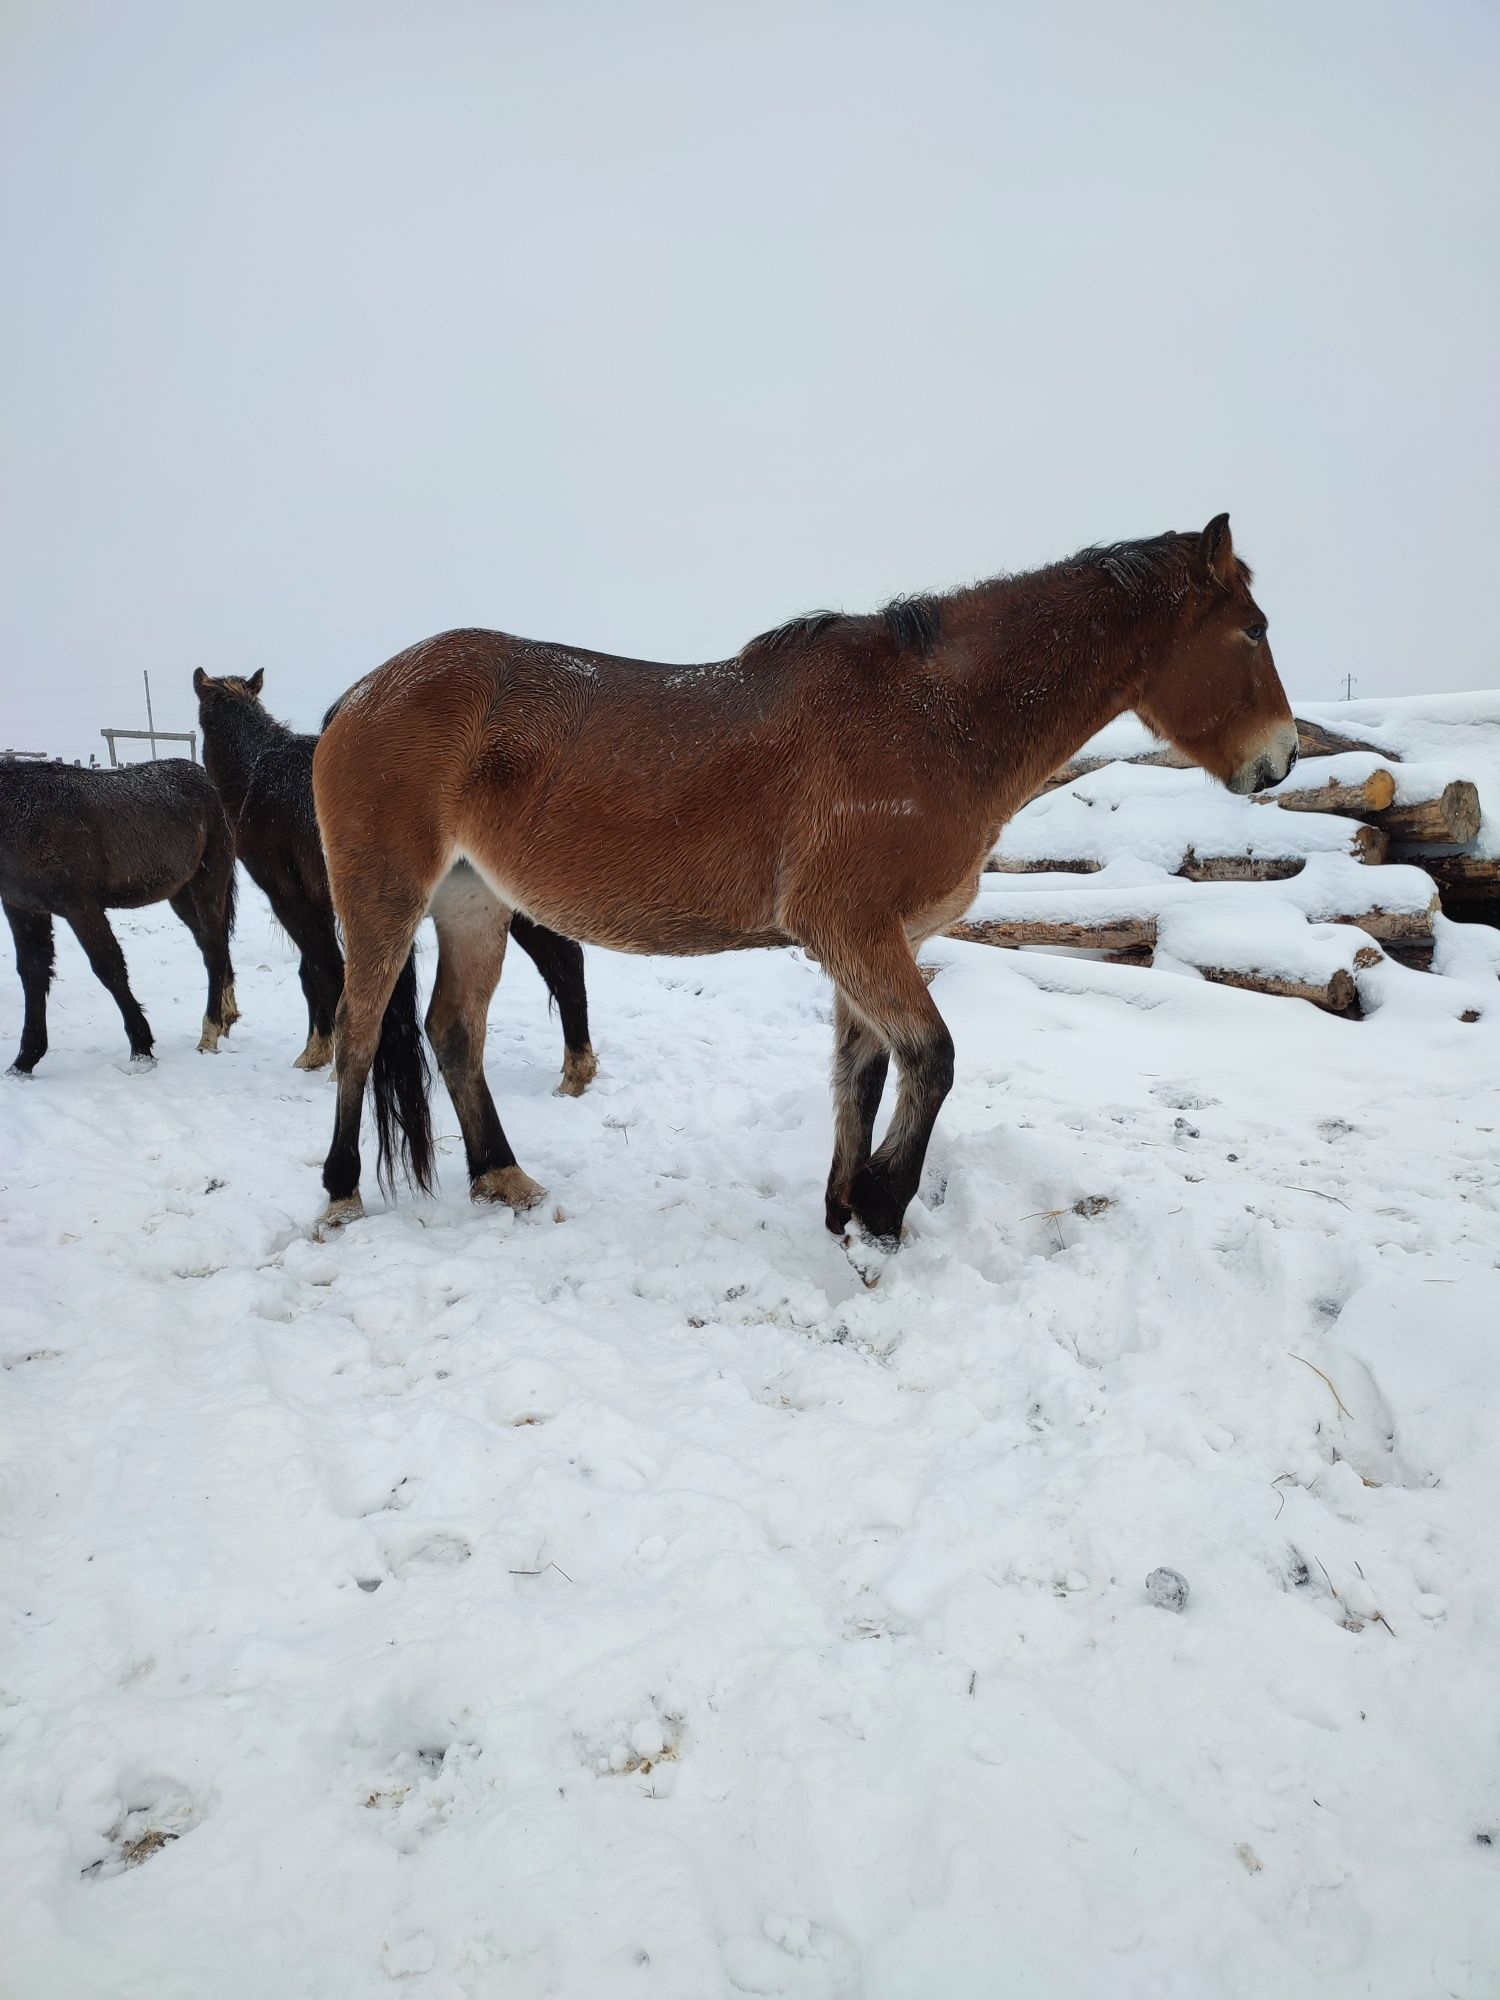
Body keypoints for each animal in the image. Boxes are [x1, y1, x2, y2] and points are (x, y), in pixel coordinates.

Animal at [2, 756, 241, 1080]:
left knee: (215, 950)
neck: (23, 812)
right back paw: (226, 1017)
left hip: (208, 883)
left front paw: (141, 1049)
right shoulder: (23, 908)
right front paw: (24, 1060)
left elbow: (109, 968)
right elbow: (33, 973)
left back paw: (210, 1032)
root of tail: (207, 781)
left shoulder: (81, 906)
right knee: (212, 946)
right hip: (181, 894)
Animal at [194, 668, 600, 1096]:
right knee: (565, 965)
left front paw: (328, 1059)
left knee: (564, 965)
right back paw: (576, 1070)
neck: (260, 774)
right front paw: (319, 1051)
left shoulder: (292, 899)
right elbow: (312, 972)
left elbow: (323, 970)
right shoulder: (316, 904)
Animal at [312, 516, 1296, 1232]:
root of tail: (357, 696)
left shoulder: (876, 941)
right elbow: (931, 1059)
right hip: (386, 897)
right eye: (1251, 631)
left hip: (472, 903)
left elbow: (864, 1072)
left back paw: (502, 1175)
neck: (935, 717)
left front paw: (843, 1208)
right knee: (359, 1029)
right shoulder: (852, 929)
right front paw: (884, 1206)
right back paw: (342, 1190)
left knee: (453, 1035)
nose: (1280, 758)